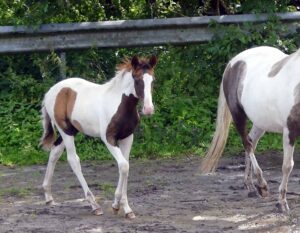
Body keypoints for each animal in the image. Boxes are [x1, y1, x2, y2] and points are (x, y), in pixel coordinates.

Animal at [40, 55, 157, 218]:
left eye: (153, 80)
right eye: (137, 79)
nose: (148, 109)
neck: (120, 104)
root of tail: (51, 91)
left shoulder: (127, 137)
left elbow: (126, 166)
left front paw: (123, 208)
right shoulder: (108, 138)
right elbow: (123, 165)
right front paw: (118, 205)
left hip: (71, 131)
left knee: (55, 152)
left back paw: (49, 197)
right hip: (66, 131)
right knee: (73, 160)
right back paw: (94, 205)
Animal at [200, 46, 300, 213]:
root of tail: (233, 62)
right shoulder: (289, 130)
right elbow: (287, 166)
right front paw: (281, 203)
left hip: (260, 122)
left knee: (251, 142)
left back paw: (250, 186)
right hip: (238, 116)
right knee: (247, 144)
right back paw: (261, 185)